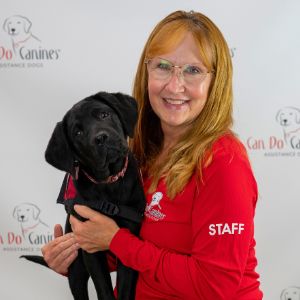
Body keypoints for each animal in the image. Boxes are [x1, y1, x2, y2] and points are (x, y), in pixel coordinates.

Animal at [21, 92, 146, 300]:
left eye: (104, 114)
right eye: (78, 133)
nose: (101, 138)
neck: (110, 184)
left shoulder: (128, 237)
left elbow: (125, 288)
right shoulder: (89, 246)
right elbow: (103, 287)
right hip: (76, 268)